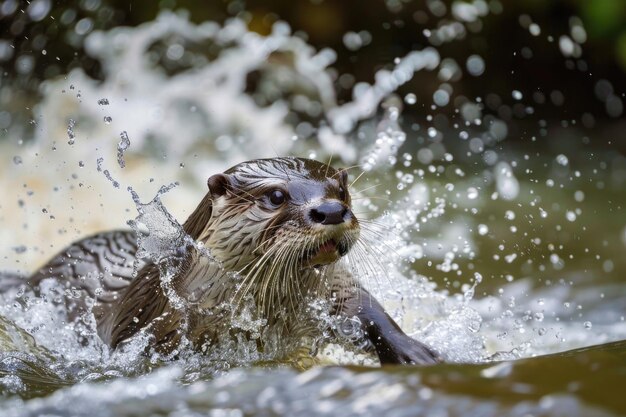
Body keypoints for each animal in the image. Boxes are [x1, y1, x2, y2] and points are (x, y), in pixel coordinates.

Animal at [20, 157, 438, 364]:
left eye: (341, 190)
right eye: (275, 196)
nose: (332, 210)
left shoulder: (335, 288)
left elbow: (366, 311)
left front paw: (416, 353)